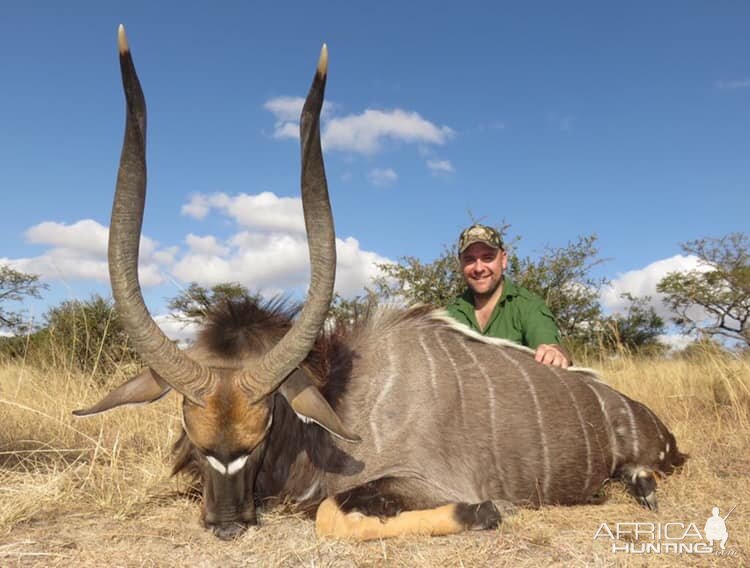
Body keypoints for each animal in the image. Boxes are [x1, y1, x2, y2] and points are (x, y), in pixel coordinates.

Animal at [75, 26, 688, 540]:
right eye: (192, 428)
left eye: (264, 428)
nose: (225, 524)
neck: (341, 397)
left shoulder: (418, 480)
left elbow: (332, 513)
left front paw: (486, 510)